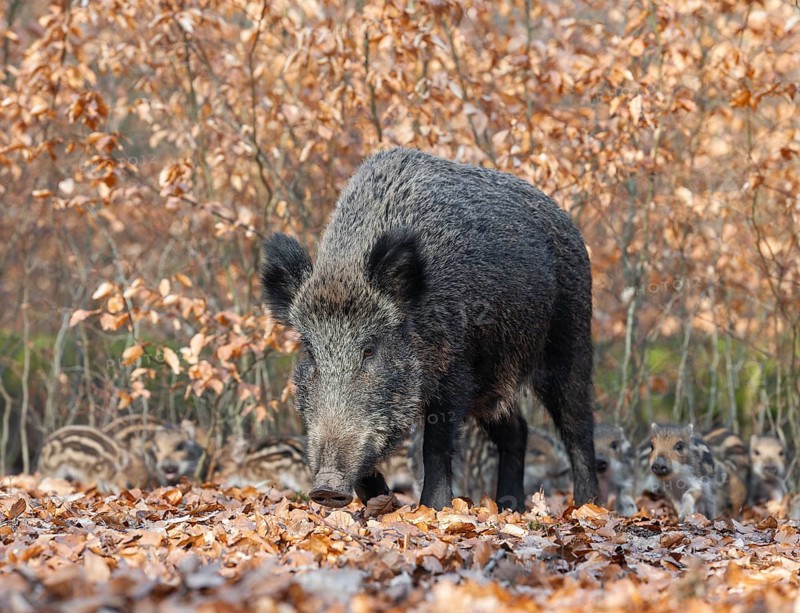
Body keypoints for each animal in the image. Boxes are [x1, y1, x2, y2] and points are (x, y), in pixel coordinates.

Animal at [260, 147, 598, 511]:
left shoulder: (457, 370)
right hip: (494, 382)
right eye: (311, 352)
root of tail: (567, 222)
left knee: (578, 426)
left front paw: (433, 508)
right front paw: (384, 504)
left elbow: (434, 445)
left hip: (570, 337)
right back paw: (510, 507)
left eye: (370, 349)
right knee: (517, 431)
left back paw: (587, 505)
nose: (326, 488)